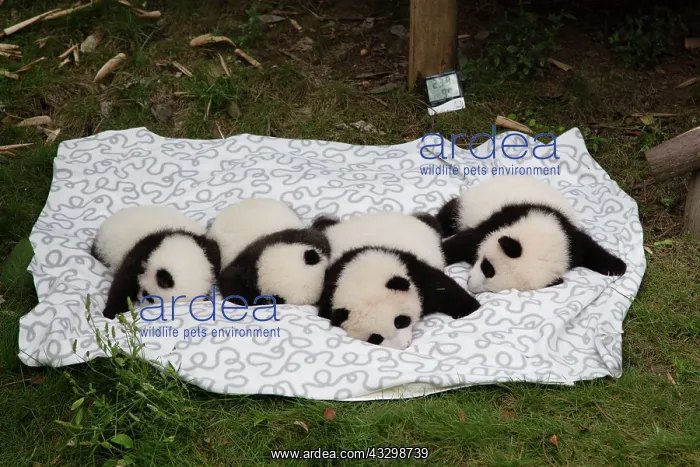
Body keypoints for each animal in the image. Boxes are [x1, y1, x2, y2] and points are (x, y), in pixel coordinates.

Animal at [91, 206, 221, 320]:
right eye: (148, 295)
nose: (140, 302)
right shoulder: (148, 246)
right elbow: (124, 281)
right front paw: (112, 312)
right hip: (105, 244)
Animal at [313, 211, 481, 350]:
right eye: (375, 338)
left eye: (400, 321)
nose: (404, 346)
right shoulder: (333, 282)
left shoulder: (410, 267)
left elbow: (442, 288)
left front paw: (469, 309)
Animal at [438, 175, 628, 293]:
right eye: (488, 267)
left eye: (492, 290)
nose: (470, 284)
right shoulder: (504, 218)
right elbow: (466, 241)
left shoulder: (568, 239)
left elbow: (589, 249)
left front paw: (617, 267)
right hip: (471, 203)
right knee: (450, 215)